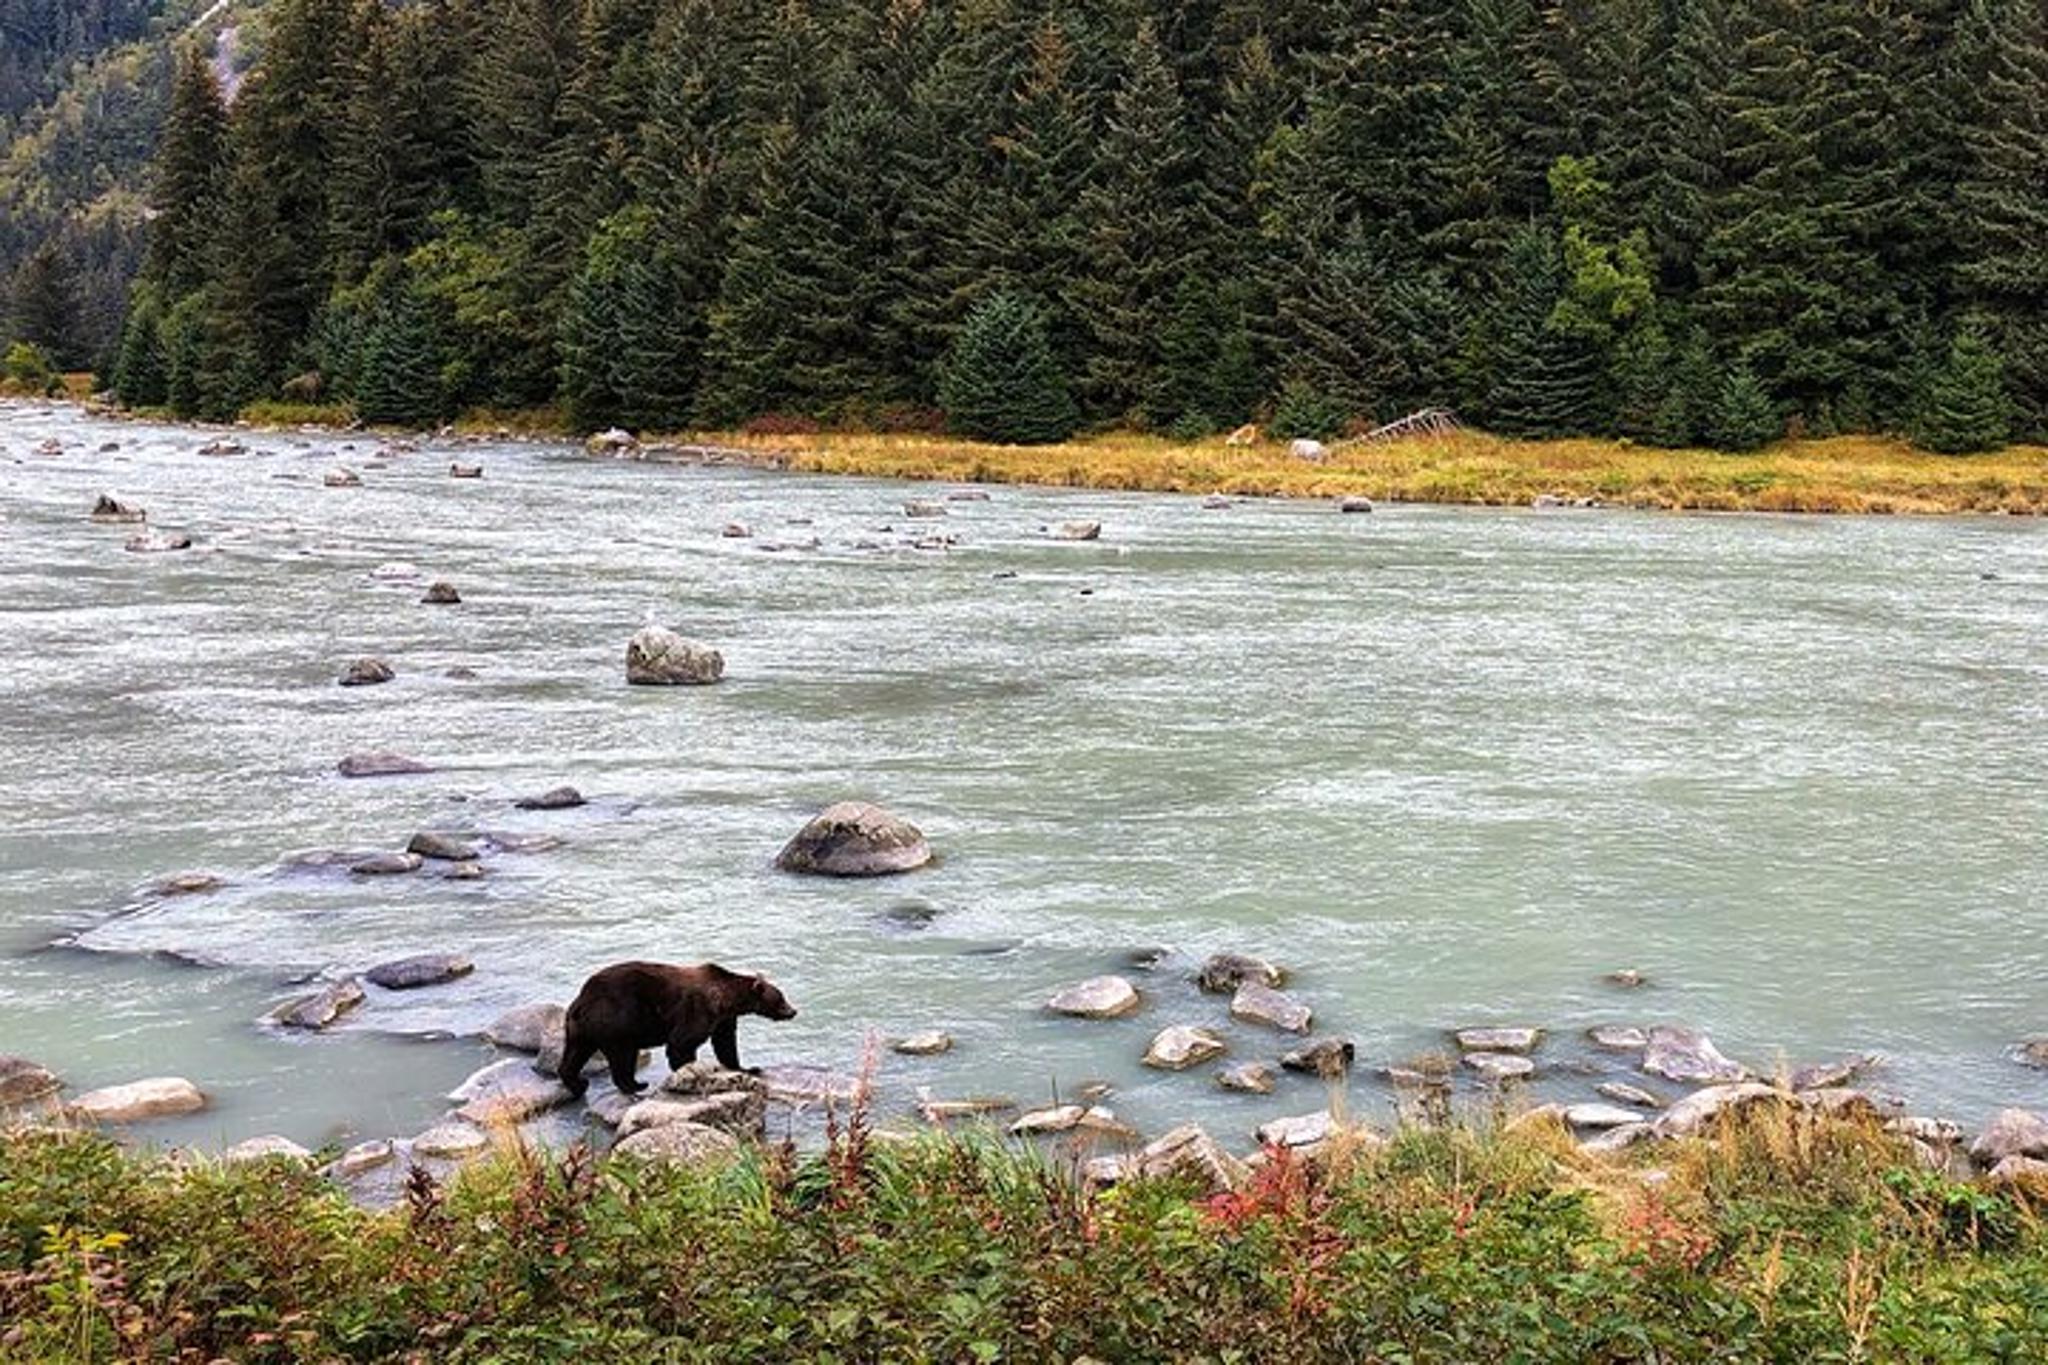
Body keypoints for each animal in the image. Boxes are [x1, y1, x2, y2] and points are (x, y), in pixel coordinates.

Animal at [556, 961, 797, 1099]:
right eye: (781, 998)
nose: (793, 1011)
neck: (725, 1000)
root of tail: (581, 1000)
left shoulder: (723, 1020)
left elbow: (726, 1044)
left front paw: (748, 1068)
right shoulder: (698, 1010)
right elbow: (682, 1042)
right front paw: (687, 1074)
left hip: (579, 1028)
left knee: (575, 1053)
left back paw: (578, 1084)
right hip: (617, 1020)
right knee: (623, 1055)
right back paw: (635, 1085)